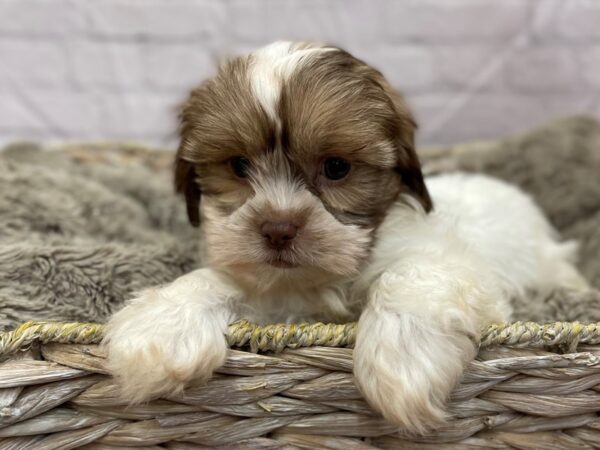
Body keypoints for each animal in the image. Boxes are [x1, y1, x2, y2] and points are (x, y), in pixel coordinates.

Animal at [105, 40, 588, 430]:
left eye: (336, 167)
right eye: (239, 166)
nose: (278, 229)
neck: (328, 277)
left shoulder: (450, 264)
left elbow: (409, 277)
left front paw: (402, 359)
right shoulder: (276, 290)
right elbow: (217, 279)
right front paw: (160, 324)